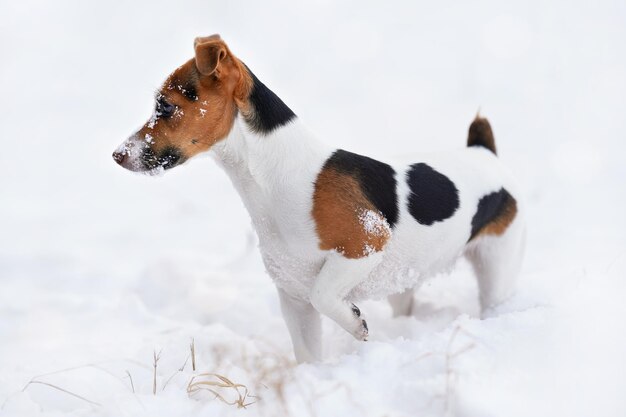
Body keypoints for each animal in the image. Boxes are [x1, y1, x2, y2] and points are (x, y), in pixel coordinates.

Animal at [111, 35, 520, 360]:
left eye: (165, 106)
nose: (117, 155)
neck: (275, 176)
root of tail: (483, 151)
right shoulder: (294, 298)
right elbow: (308, 355)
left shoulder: (364, 244)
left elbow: (325, 294)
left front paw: (356, 325)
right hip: (406, 283)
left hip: (497, 264)